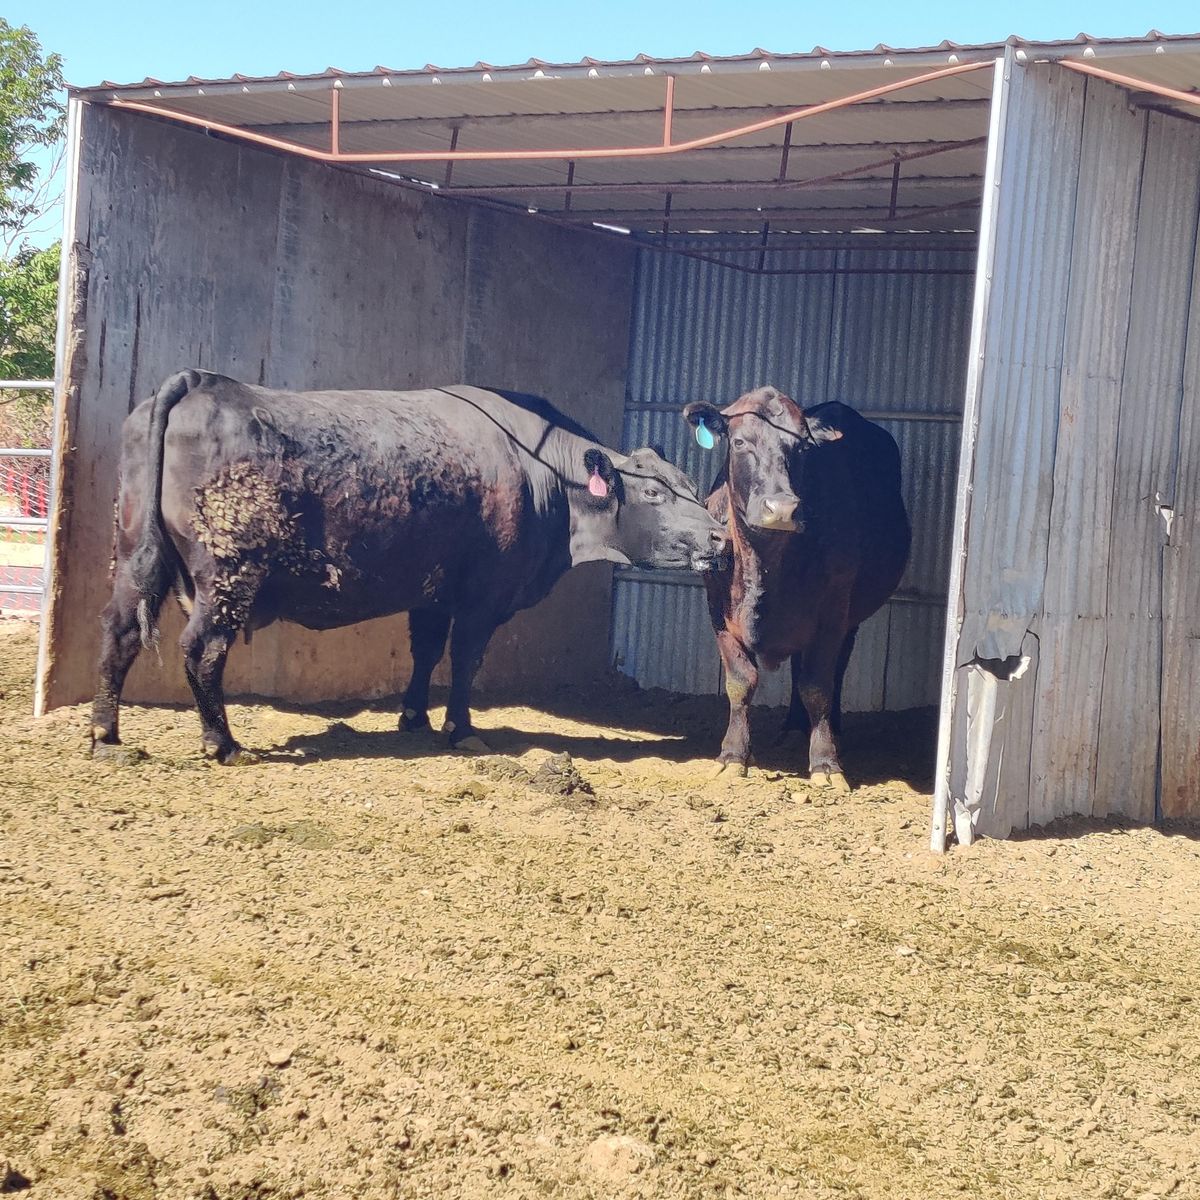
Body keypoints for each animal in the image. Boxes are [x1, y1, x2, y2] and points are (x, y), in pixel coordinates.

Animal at [91, 370, 728, 764]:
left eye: (691, 486)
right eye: (654, 495)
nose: (719, 535)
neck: (541, 473)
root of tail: (201, 381)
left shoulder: (432, 591)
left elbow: (424, 651)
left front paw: (414, 716)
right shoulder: (482, 596)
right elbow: (465, 659)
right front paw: (461, 729)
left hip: (135, 558)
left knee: (119, 634)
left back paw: (105, 733)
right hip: (228, 576)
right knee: (202, 650)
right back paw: (221, 743)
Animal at [682, 385, 911, 791]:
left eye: (803, 447)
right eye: (739, 441)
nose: (781, 508)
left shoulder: (832, 612)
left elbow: (817, 686)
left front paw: (825, 762)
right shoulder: (718, 609)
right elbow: (741, 681)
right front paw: (733, 756)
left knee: (833, 669)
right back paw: (792, 726)